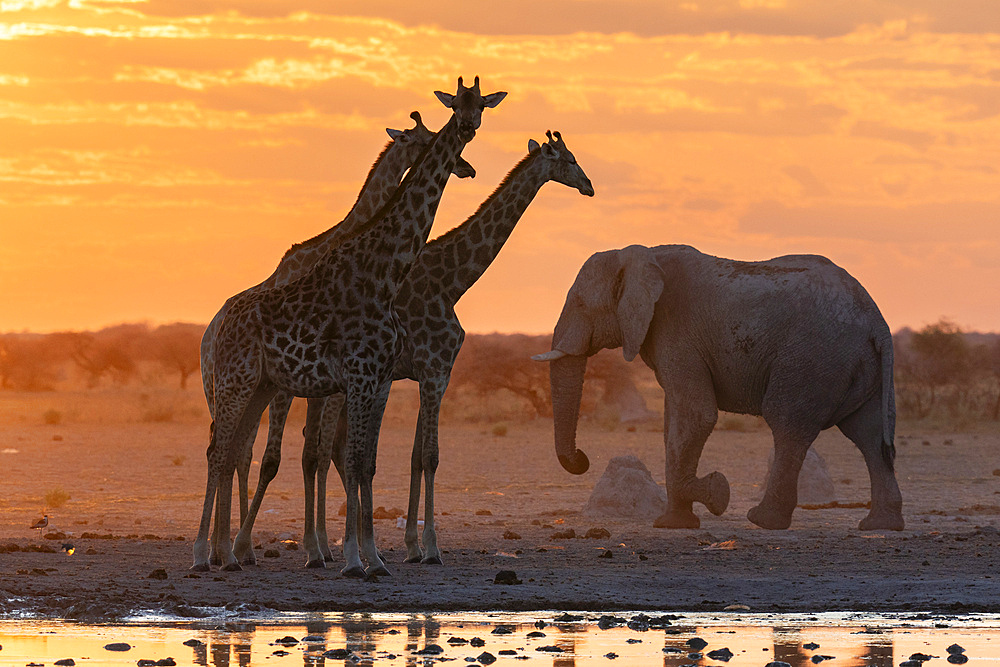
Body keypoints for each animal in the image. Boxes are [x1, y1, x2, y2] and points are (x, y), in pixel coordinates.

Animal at [195, 75, 508, 576]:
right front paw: (351, 557)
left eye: (480, 104)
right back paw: (206, 554)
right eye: (455, 104)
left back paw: (226, 552)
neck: (384, 270)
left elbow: (358, 460)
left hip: (258, 385)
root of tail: (216, 329)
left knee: (233, 451)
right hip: (235, 384)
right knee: (222, 451)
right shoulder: (358, 378)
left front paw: (367, 556)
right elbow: (342, 458)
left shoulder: (371, 378)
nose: (467, 137)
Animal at [316, 130, 588, 564]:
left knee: (331, 450)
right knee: (325, 450)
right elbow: (430, 456)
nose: (589, 186)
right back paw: (323, 548)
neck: (453, 282)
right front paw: (430, 547)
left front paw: (411, 544)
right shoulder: (435, 370)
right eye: (570, 160)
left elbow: (415, 456)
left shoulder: (428, 374)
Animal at [536, 245, 904, 532]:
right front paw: (674, 524)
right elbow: (674, 423)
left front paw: (716, 493)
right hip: (858, 365)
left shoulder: (676, 331)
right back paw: (880, 526)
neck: (640, 254)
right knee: (870, 435)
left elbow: (696, 415)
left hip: (812, 357)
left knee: (788, 424)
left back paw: (762, 521)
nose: (582, 459)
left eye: (580, 304)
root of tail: (878, 321)